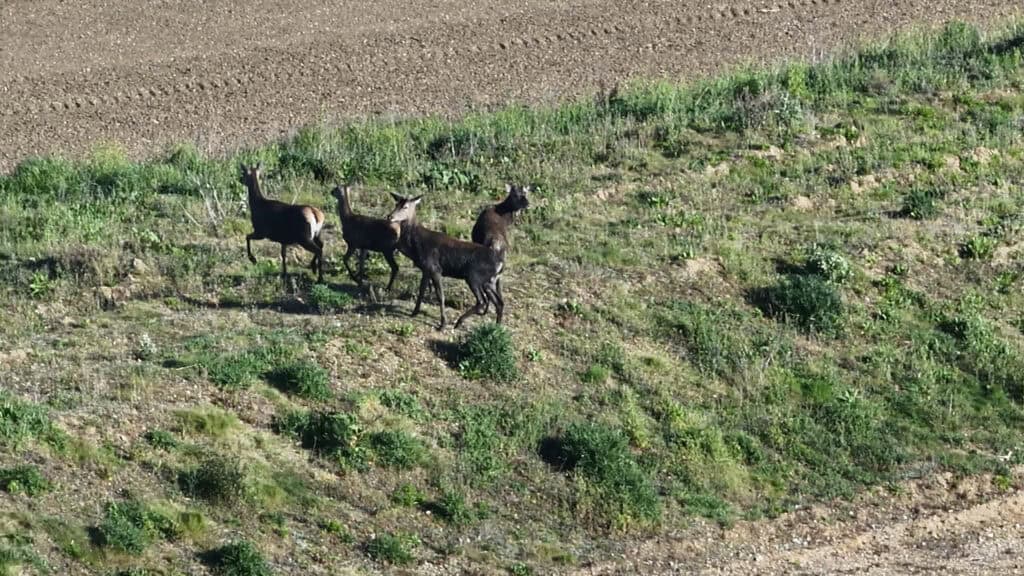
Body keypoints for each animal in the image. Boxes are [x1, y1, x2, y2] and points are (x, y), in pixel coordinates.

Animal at [387, 194, 504, 331]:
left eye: (405, 206)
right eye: (396, 204)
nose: (390, 216)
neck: (416, 246)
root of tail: (500, 263)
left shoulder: (435, 268)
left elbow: (440, 296)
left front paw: (442, 324)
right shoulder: (426, 269)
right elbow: (421, 291)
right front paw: (414, 312)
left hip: (474, 276)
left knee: (482, 301)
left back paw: (458, 322)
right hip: (489, 281)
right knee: (499, 302)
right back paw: (497, 327)